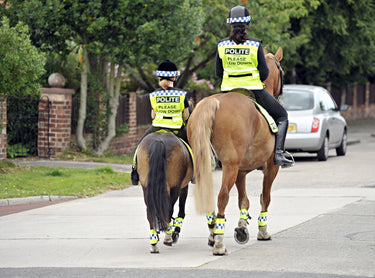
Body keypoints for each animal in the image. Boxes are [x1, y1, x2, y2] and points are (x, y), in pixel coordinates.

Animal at [188, 46, 284, 255]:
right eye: (282, 71)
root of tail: (214, 102)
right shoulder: (271, 168)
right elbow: (265, 198)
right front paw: (262, 231)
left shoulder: (241, 171)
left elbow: (244, 200)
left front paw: (241, 227)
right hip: (230, 166)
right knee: (222, 195)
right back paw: (219, 243)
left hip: (206, 163)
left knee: (209, 194)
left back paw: (213, 234)